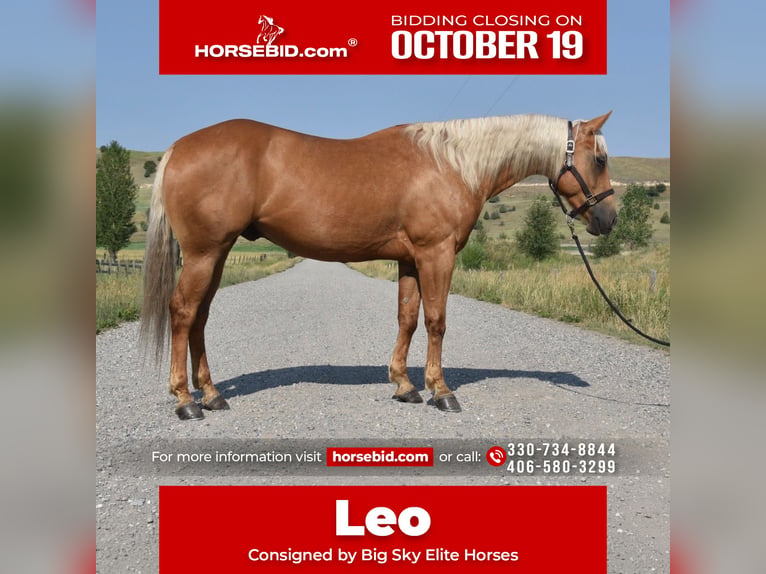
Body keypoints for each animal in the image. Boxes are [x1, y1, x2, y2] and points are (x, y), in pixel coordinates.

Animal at [140, 113, 617, 420]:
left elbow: (407, 318)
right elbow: (436, 320)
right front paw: (441, 391)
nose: (608, 220)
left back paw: (211, 394)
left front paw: (404, 386)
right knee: (183, 311)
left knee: (200, 317)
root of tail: (178, 148)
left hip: (216, 254)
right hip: (204, 253)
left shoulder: (409, 259)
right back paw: (185, 400)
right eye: (599, 159)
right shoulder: (436, 253)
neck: (451, 163)